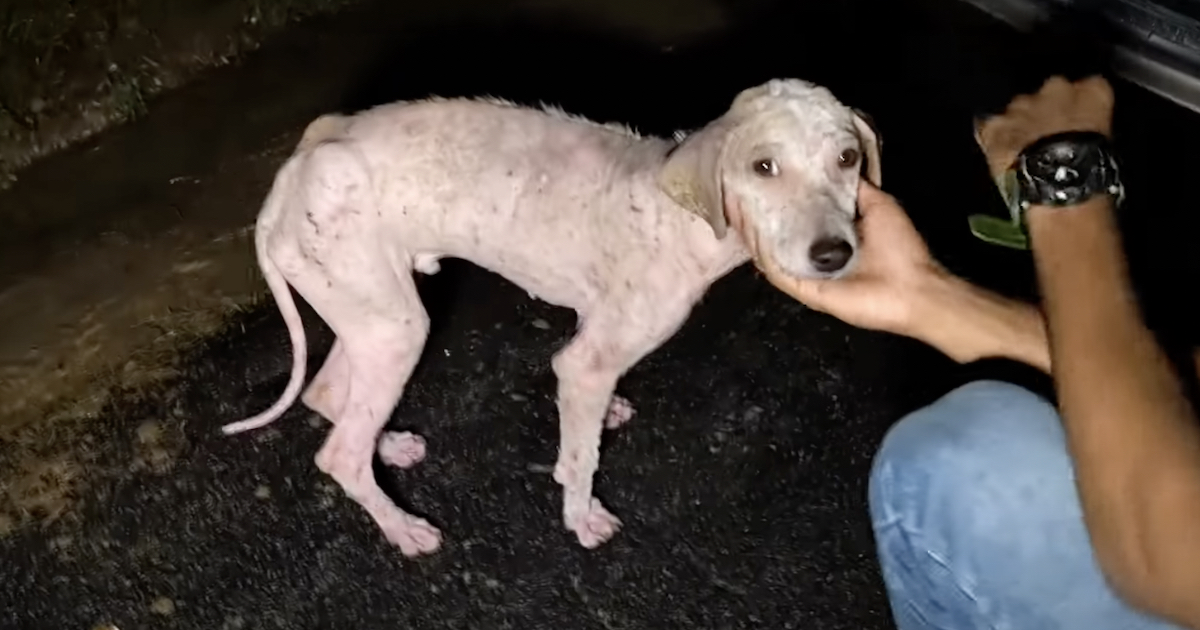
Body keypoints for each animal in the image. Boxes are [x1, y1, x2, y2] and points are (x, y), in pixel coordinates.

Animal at [223, 77, 883, 554]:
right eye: (763, 167)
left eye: (848, 157)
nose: (835, 255)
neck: (682, 215)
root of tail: (290, 176)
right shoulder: (584, 365)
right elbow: (580, 456)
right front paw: (581, 517)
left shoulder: (592, 344)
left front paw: (602, 424)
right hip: (394, 329)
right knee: (338, 453)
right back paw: (401, 527)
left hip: (372, 315)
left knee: (329, 397)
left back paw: (388, 445)